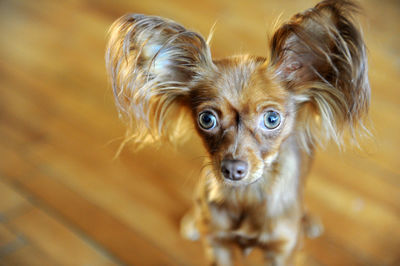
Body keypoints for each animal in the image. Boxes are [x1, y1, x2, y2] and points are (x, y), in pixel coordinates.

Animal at [105, 1, 368, 264]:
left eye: (272, 119)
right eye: (206, 119)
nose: (232, 169)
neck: (246, 195)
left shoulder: (281, 252)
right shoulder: (217, 243)